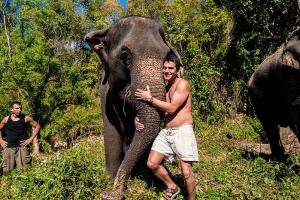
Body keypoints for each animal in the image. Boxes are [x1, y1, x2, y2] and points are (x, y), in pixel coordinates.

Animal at [84, 16, 183, 198]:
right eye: (125, 56)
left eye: (166, 56)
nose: (111, 193)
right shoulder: (104, 93)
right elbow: (111, 130)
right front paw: (109, 181)